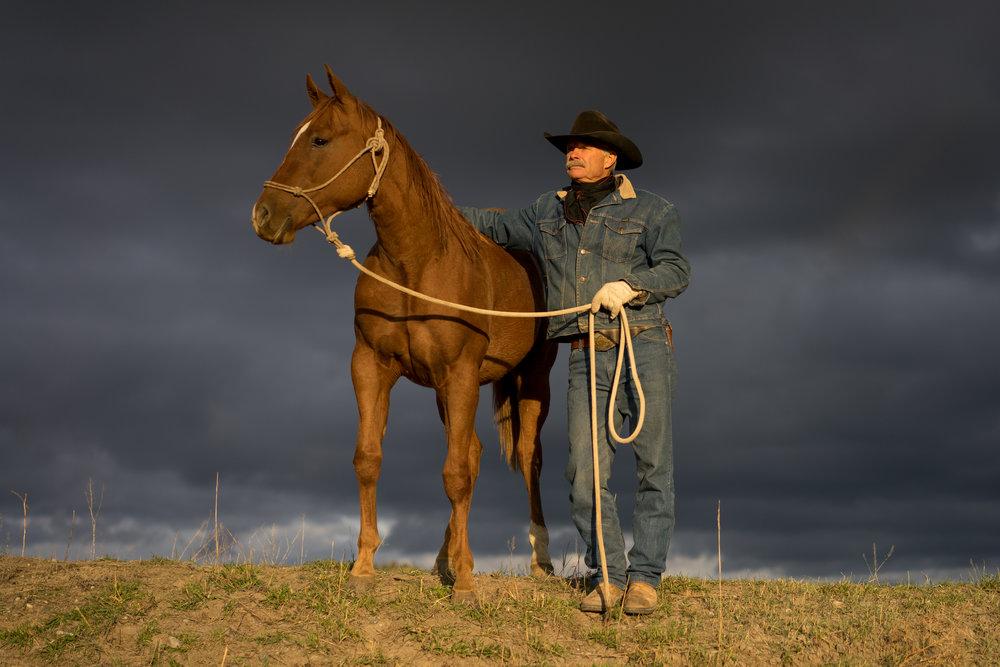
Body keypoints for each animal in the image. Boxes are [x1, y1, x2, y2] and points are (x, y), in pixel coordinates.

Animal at [251, 66, 557, 602]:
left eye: (319, 139)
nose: (264, 215)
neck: (417, 262)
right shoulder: (372, 366)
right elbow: (370, 458)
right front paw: (363, 568)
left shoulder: (459, 373)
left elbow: (455, 474)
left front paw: (465, 586)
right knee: (474, 453)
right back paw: (448, 556)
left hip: (529, 381)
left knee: (526, 458)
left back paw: (539, 561)